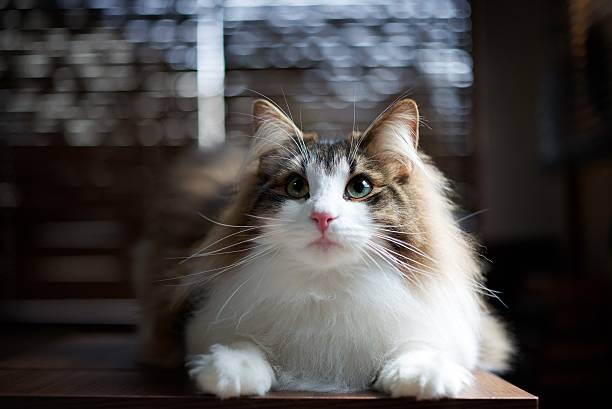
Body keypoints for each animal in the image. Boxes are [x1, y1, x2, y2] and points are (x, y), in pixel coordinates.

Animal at [134, 98, 512, 398]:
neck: (328, 288)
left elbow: (421, 344)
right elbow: (241, 341)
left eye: (359, 187)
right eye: (296, 187)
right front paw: (233, 370)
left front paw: (421, 375)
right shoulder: (192, 321)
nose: (323, 217)